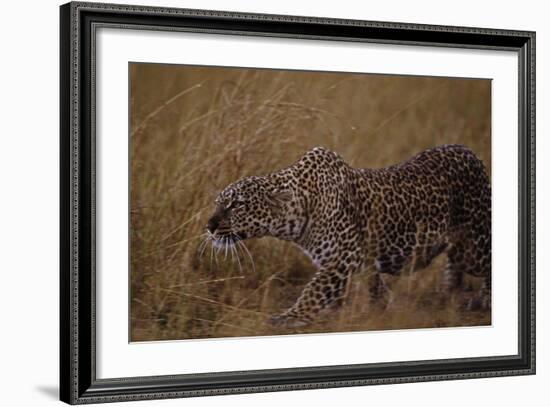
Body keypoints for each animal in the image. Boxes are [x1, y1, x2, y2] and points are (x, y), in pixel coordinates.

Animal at [205, 145, 494, 330]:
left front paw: (291, 316)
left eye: (237, 205)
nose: (209, 225)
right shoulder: (359, 261)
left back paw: (483, 299)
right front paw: (384, 307)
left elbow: (314, 289)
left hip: (472, 248)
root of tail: (470, 153)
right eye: (219, 203)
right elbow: (374, 285)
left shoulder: (341, 257)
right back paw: (449, 292)